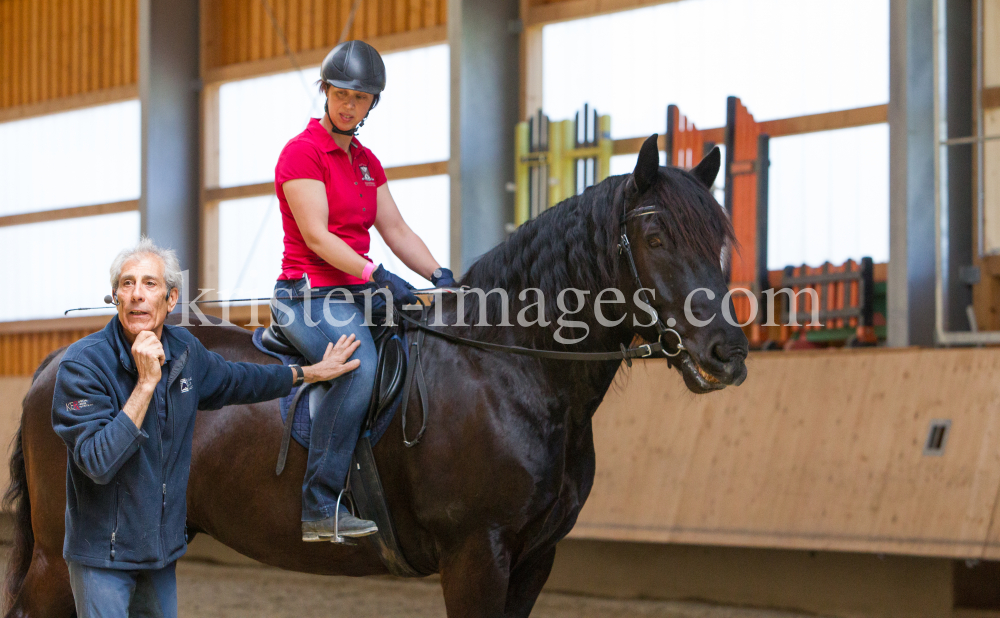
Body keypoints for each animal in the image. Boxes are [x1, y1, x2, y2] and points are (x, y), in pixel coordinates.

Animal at [3, 136, 748, 616]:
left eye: (719, 238)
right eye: (656, 238)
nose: (728, 353)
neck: (512, 366)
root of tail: (57, 364)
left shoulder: (536, 558)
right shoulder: (477, 553)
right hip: (60, 559)